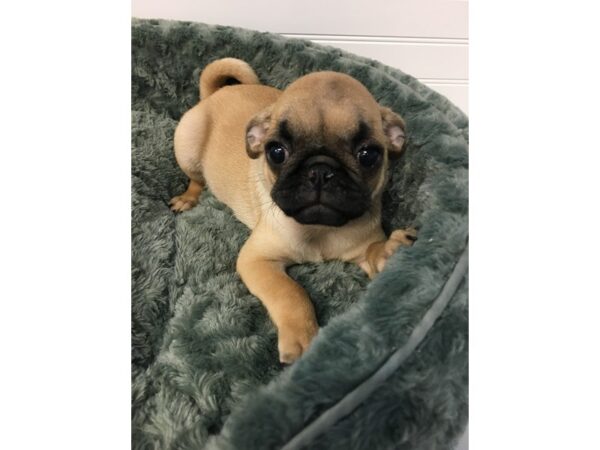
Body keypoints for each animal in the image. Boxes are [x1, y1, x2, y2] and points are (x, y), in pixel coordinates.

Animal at [169, 59, 414, 362]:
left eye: (368, 155)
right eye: (276, 152)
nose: (320, 170)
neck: (319, 229)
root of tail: (214, 95)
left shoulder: (361, 246)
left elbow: (372, 250)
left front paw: (389, 251)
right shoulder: (257, 260)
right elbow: (291, 292)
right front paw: (302, 337)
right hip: (187, 150)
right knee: (196, 179)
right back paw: (187, 198)